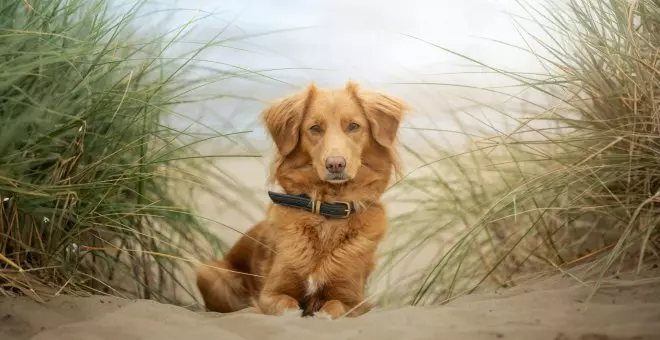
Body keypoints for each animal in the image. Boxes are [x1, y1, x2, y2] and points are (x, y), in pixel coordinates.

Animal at [196, 81, 408, 320]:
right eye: (315, 128)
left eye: (354, 126)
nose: (335, 164)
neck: (328, 211)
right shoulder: (272, 293)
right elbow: (287, 306)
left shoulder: (353, 301)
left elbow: (333, 307)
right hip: (209, 273)